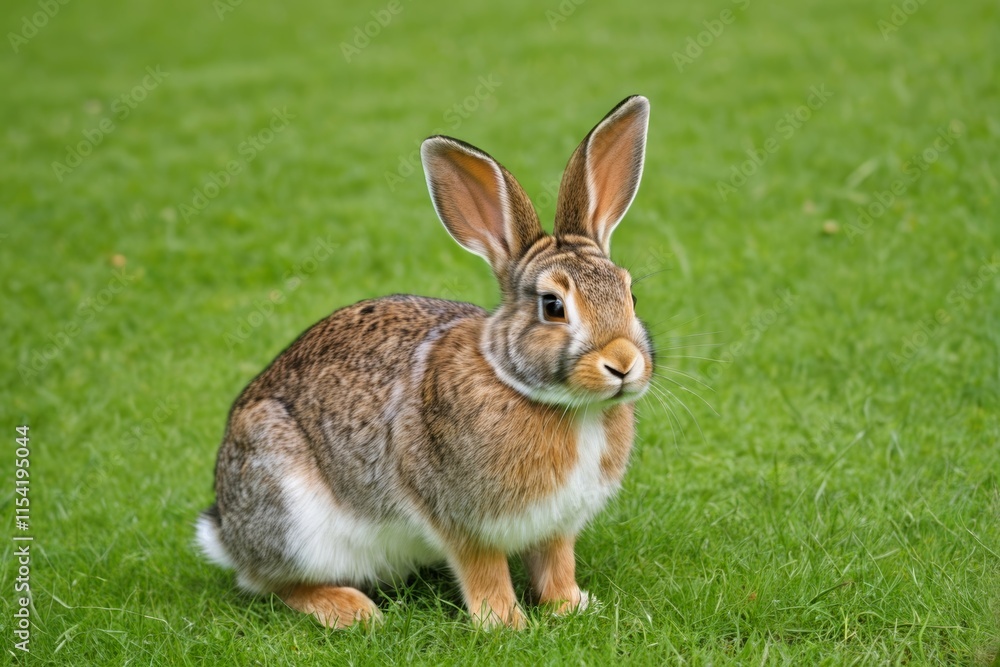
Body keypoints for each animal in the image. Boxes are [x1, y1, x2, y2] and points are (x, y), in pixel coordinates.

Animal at [196, 95, 654, 630]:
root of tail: (227, 530)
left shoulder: (556, 525)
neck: (565, 406)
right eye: (553, 306)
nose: (623, 363)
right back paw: (350, 609)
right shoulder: (461, 519)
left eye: (631, 295)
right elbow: (483, 570)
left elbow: (557, 562)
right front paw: (505, 623)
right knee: (272, 582)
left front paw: (572, 605)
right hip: (289, 511)